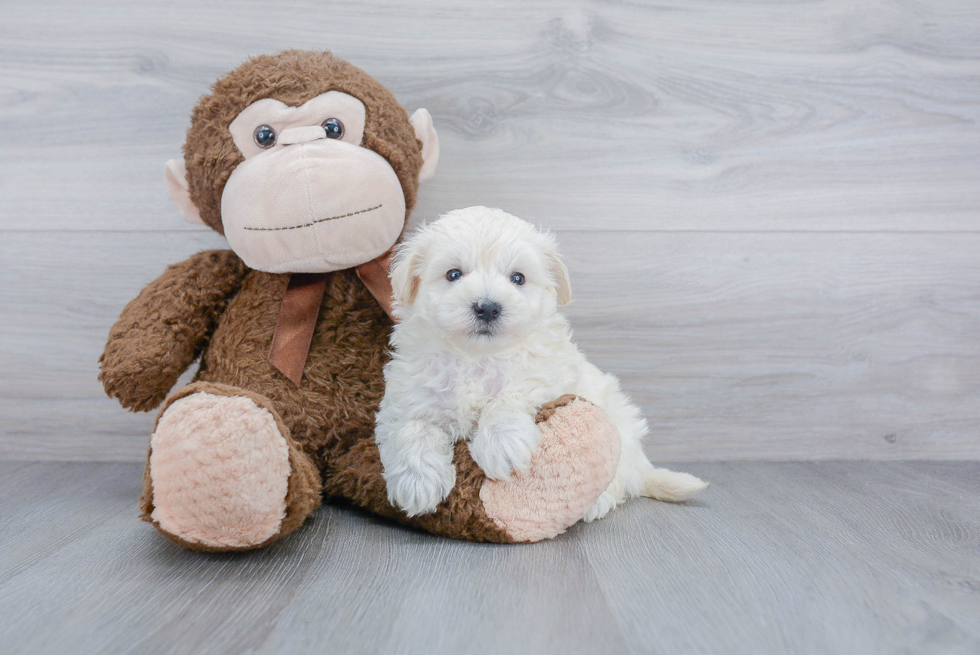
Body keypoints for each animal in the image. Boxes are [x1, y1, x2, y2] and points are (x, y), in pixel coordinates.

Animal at [374, 208, 704, 520]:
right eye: (453, 274)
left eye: (518, 278)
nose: (487, 307)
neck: (476, 358)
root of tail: (643, 467)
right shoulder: (407, 397)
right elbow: (411, 427)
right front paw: (417, 482)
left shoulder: (549, 374)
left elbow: (511, 394)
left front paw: (501, 444)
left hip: (621, 431)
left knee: (619, 479)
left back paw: (598, 503)